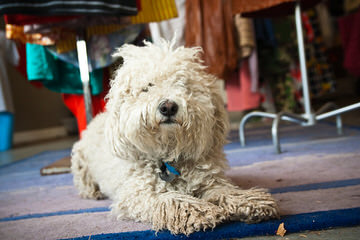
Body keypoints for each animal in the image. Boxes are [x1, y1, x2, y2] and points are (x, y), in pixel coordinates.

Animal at [70, 39, 278, 234]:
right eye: (147, 87)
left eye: (183, 84)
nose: (168, 106)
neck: (169, 153)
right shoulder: (138, 194)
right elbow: (169, 198)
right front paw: (196, 211)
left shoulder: (208, 180)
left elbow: (224, 191)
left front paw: (251, 202)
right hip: (81, 164)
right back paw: (93, 193)